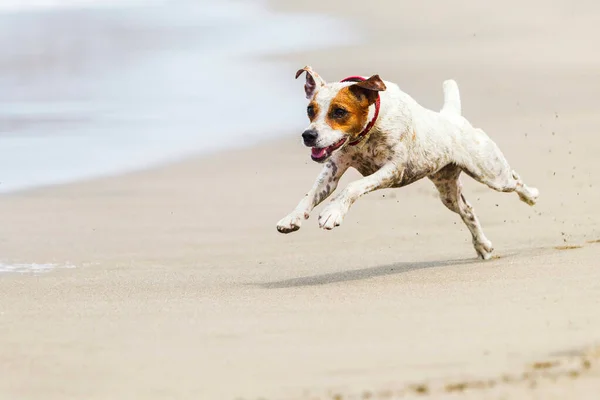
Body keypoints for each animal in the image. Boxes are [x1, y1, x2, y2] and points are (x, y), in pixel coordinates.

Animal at [276, 65, 540, 260]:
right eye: (310, 110)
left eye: (339, 112)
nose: (308, 135)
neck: (367, 133)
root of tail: (452, 117)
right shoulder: (333, 169)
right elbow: (310, 195)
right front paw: (292, 218)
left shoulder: (393, 170)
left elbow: (352, 187)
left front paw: (332, 213)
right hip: (447, 191)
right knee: (468, 211)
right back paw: (482, 245)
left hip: (491, 173)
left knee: (514, 181)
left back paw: (531, 196)